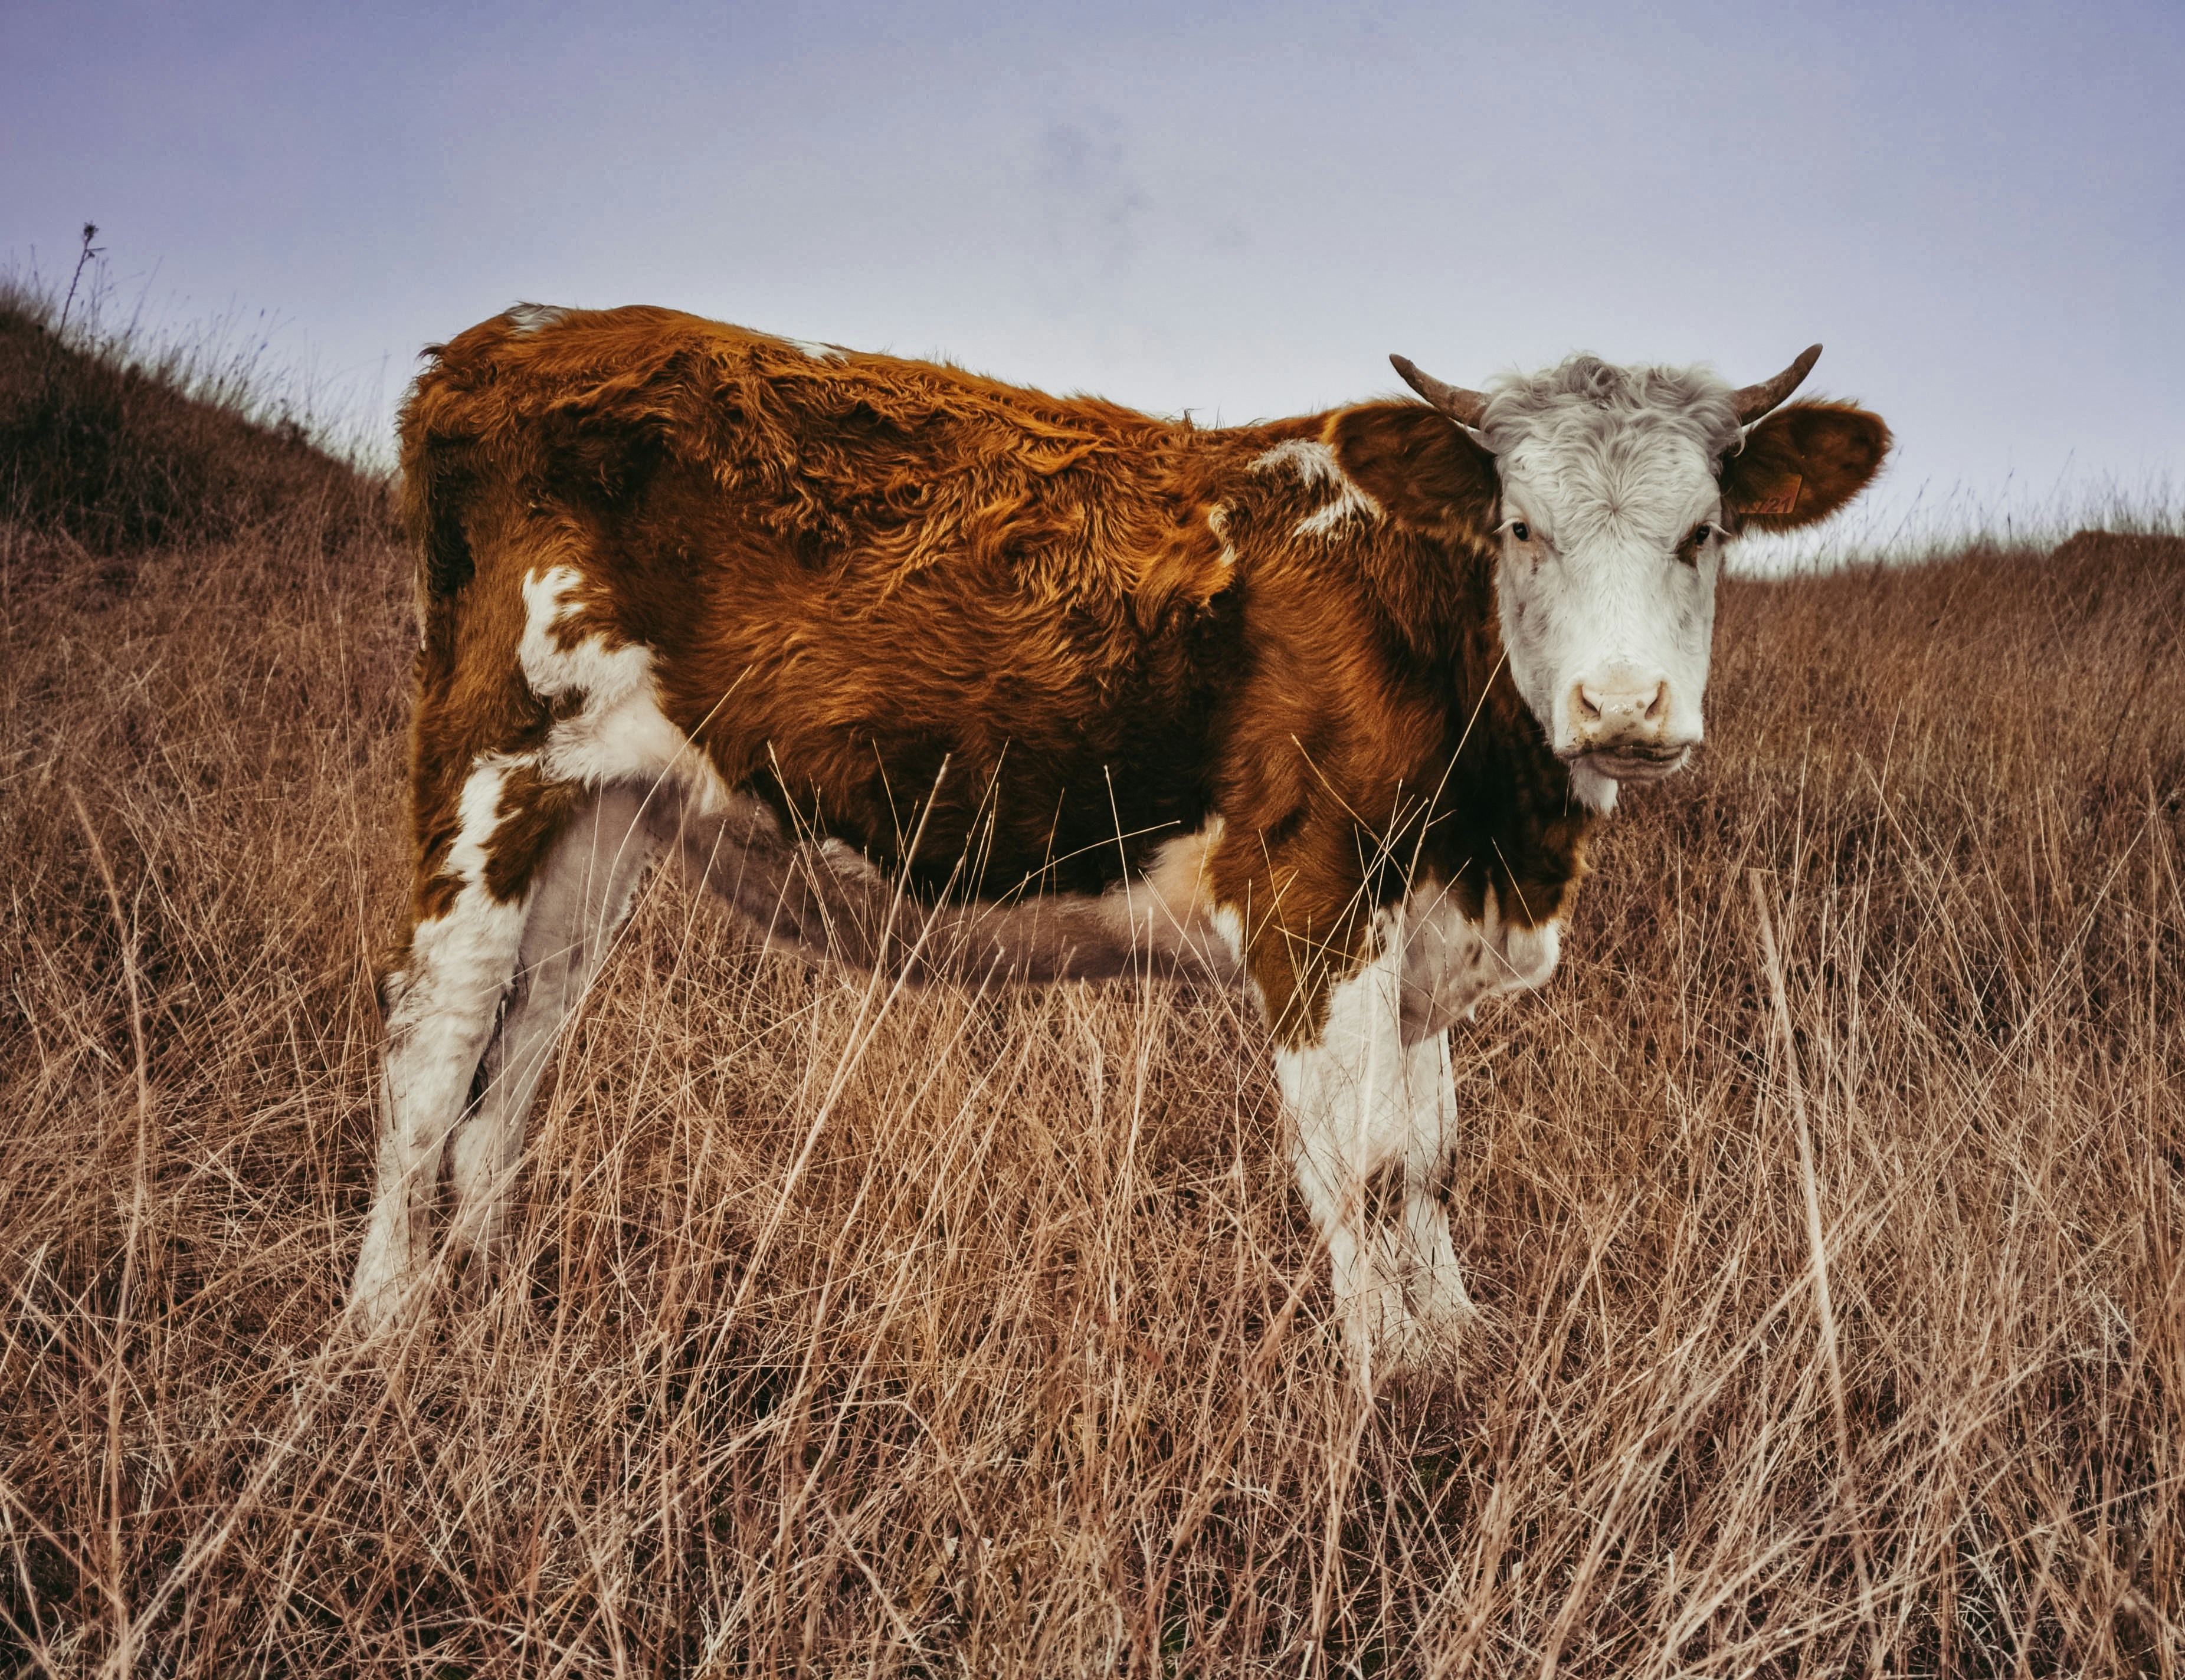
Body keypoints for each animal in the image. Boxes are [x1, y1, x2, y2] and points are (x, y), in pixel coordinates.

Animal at [347, 304, 1889, 1383]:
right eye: (1520, 525)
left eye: (1705, 532)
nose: (1623, 707)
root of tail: (510, 339)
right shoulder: (1314, 897)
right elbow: (1361, 1162)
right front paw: (1390, 1388)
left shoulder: (1426, 928)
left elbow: (1434, 1154)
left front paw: (1456, 1344)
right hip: (486, 764)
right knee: (430, 1048)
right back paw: (383, 1333)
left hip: (600, 821)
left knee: (512, 1068)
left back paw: (499, 1319)